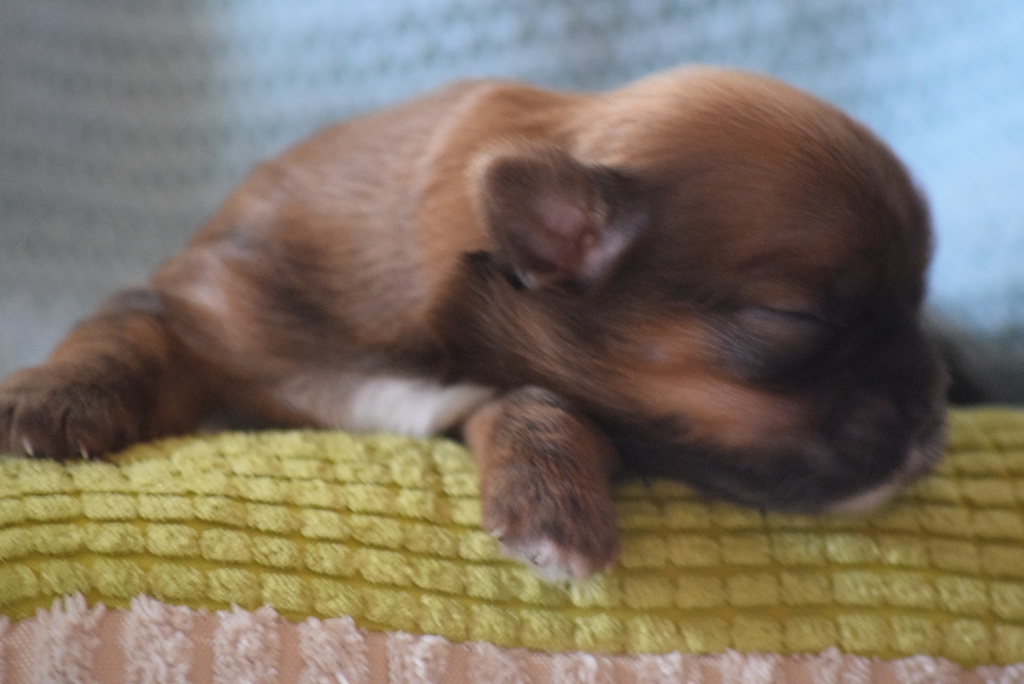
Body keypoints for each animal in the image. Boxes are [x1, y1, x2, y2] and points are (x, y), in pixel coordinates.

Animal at [0, 66, 946, 579]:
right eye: (794, 317)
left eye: (917, 298)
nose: (933, 428)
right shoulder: (201, 300)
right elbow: (124, 332)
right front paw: (51, 403)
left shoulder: (485, 389)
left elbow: (542, 403)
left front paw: (553, 514)